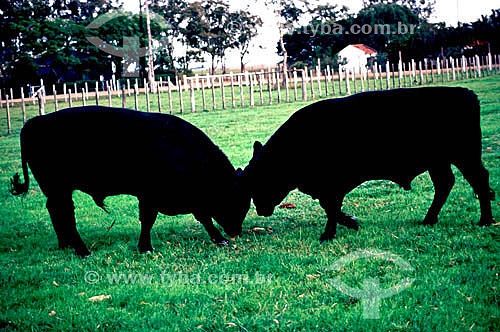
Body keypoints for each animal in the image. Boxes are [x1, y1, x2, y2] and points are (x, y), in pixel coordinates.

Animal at [10, 107, 254, 256]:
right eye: (237, 201)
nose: (236, 231)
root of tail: (35, 121)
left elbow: (204, 218)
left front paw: (218, 238)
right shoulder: (150, 196)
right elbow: (148, 220)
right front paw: (145, 247)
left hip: (56, 190)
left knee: (56, 211)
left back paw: (65, 245)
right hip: (59, 188)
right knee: (64, 213)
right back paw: (82, 250)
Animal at [243, 87, 496, 240]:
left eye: (260, 181)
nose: (260, 209)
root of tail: (465, 93)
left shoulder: (332, 185)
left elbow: (331, 208)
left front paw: (329, 234)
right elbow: (331, 207)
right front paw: (351, 222)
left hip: (465, 156)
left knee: (480, 181)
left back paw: (485, 221)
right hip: (439, 162)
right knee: (445, 184)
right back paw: (429, 220)